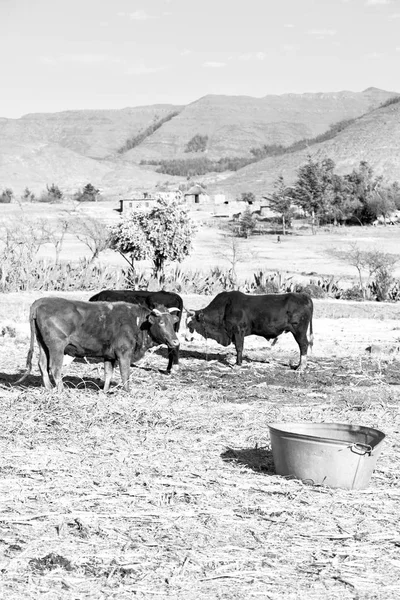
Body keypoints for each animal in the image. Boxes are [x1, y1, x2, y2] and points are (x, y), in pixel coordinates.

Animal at [16, 296, 180, 394]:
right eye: (161, 322)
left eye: (173, 322)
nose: (176, 342)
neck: (137, 322)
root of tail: (42, 300)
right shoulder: (124, 353)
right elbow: (125, 374)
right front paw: (128, 392)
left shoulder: (109, 355)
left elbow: (108, 374)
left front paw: (105, 391)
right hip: (57, 346)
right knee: (55, 368)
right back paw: (61, 391)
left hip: (43, 344)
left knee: (42, 364)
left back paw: (49, 388)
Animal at [186, 290, 314, 370]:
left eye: (190, 324)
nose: (186, 338)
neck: (225, 306)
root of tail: (303, 296)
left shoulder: (238, 331)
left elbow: (239, 347)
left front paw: (238, 363)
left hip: (299, 331)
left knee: (303, 345)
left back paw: (301, 366)